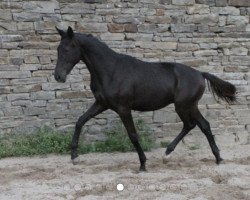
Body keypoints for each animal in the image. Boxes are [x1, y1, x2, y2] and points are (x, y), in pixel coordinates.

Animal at [53, 25, 235, 171]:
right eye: (58, 49)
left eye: (68, 49)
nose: (58, 76)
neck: (111, 70)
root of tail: (200, 74)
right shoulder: (101, 104)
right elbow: (80, 121)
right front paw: (74, 157)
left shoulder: (123, 108)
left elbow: (133, 135)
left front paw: (142, 164)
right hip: (190, 106)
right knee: (201, 125)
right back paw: (213, 158)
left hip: (184, 106)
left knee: (193, 125)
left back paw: (172, 154)